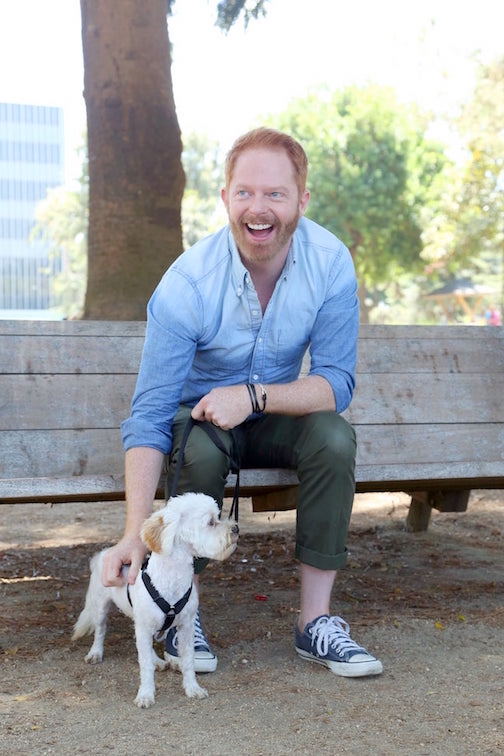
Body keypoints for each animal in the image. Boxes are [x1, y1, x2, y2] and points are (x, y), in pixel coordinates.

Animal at [72, 494, 239, 704]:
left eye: (218, 517)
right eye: (210, 522)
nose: (236, 528)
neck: (173, 579)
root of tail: (103, 554)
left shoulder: (186, 627)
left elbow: (188, 661)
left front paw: (192, 688)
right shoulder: (144, 626)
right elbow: (144, 665)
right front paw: (145, 693)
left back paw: (157, 660)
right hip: (100, 607)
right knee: (100, 631)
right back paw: (95, 652)